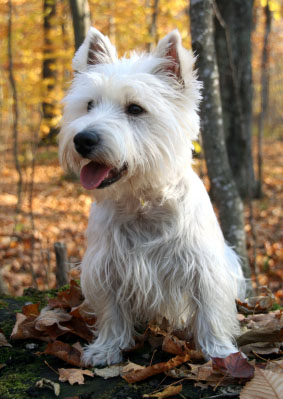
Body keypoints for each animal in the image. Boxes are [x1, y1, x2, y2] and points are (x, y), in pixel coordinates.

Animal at [58, 26, 246, 368]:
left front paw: (220, 353)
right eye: (89, 105)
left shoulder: (204, 268)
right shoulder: (105, 267)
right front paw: (106, 349)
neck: (141, 202)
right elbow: (112, 312)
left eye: (135, 109)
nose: (83, 139)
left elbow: (210, 311)